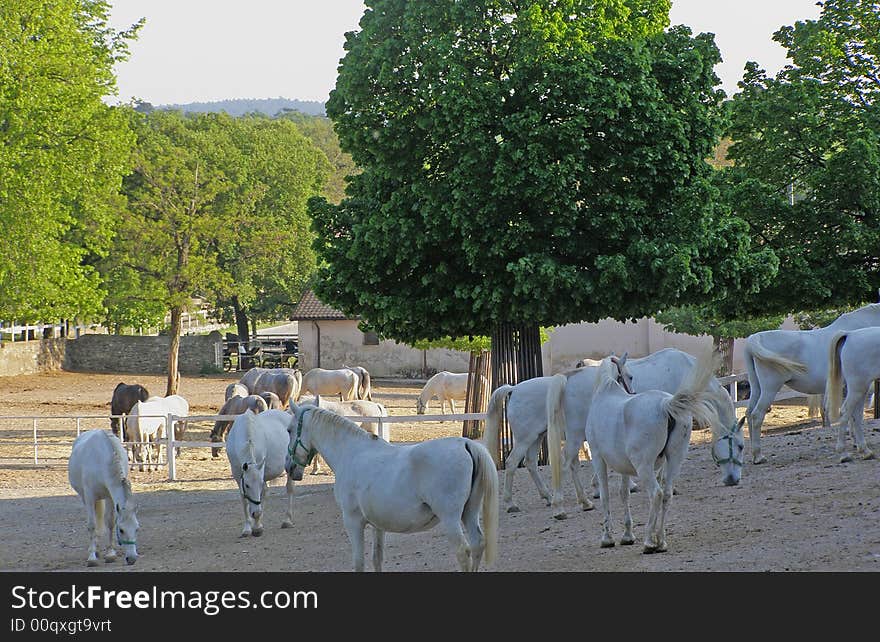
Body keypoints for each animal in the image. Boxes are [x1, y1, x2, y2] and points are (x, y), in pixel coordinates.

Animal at [68, 430, 139, 564]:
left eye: (137, 528)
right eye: (121, 530)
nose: (132, 558)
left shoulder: (110, 497)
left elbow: (110, 522)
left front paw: (110, 553)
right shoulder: (89, 497)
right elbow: (92, 525)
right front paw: (92, 557)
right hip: (85, 498)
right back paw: (94, 550)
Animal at [286, 404, 498, 568]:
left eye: (289, 430)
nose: (289, 467)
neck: (351, 452)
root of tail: (466, 444)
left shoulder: (353, 521)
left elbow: (359, 563)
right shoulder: (377, 525)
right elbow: (377, 559)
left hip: (450, 519)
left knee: (463, 552)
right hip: (469, 512)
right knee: (478, 544)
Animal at [580, 350, 720, 552]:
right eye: (630, 376)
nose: (632, 390)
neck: (606, 393)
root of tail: (665, 405)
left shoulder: (598, 459)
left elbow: (605, 496)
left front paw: (607, 538)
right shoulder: (623, 467)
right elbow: (624, 494)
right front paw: (627, 536)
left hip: (644, 467)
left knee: (656, 494)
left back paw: (649, 542)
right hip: (675, 460)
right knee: (667, 495)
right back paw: (660, 541)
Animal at [824, 328, 872, 462]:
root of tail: (849, 335)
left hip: (861, 389)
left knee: (856, 415)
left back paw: (865, 450)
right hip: (858, 388)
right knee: (846, 412)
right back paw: (844, 453)